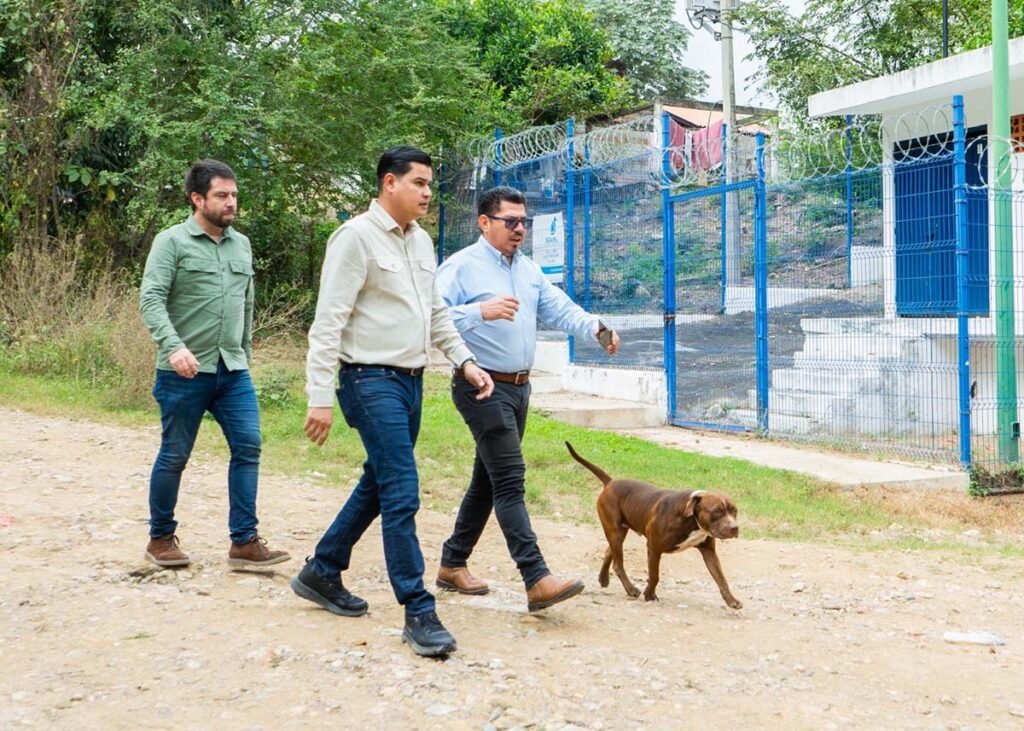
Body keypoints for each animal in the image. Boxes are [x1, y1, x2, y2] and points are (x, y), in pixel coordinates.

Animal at [565, 442, 741, 606]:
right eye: (717, 512)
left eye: (735, 511)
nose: (735, 527)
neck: (692, 521)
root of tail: (610, 482)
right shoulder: (654, 547)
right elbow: (654, 575)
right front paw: (649, 595)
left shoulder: (709, 551)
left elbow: (721, 578)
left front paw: (732, 600)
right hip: (614, 529)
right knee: (618, 563)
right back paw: (631, 589)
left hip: (619, 531)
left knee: (610, 552)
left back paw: (604, 579)